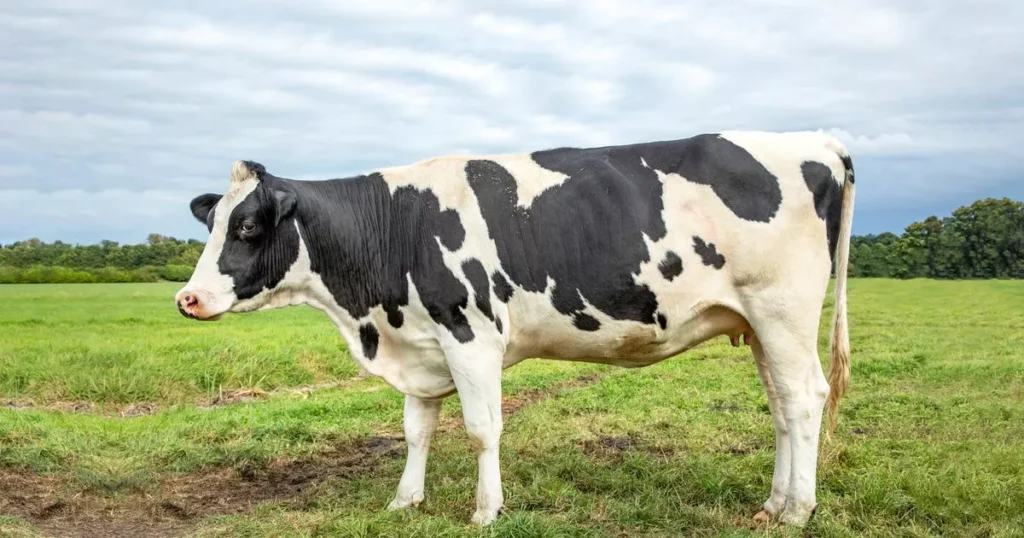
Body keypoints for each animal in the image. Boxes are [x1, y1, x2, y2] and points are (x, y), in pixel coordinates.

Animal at [176, 129, 856, 524]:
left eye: (247, 227)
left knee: (804, 399)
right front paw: (405, 500)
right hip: (760, 325)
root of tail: (817, 140)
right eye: (210, 224)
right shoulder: (422, 343)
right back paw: (772, 504)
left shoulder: (471, 334)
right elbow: (417, 431)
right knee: (781, 407)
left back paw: (799, 511)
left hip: (783, 310)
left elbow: (482, 430)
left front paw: (486, 511)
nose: (188, 298)